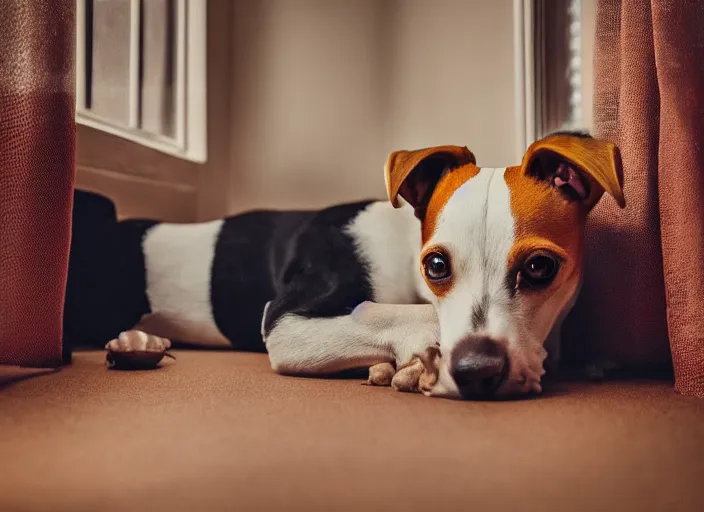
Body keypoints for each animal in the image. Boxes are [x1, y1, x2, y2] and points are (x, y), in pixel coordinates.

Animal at [63, 132, 624, 400]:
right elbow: (391, 313)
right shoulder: (288, 320)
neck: (404, 251)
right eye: (436, 266)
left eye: (540, 268)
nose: (478, 370)